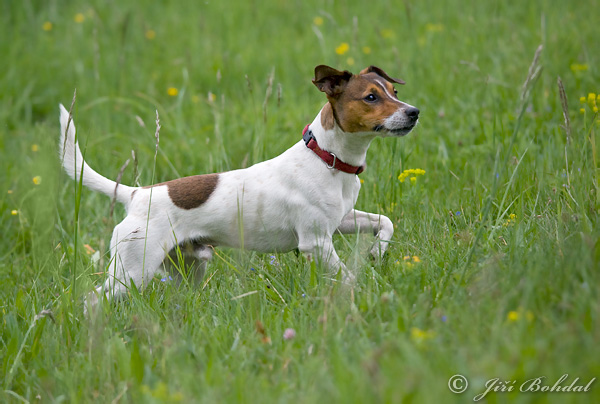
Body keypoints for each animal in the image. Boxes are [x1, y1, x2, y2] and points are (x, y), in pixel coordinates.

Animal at [58, 64, 420, 308]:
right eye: (371, 97)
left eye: (395, 93)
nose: (414, 112)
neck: (327, 158)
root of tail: (135, 194)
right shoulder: (315, 242)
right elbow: (347, 276)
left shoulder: (342, 221)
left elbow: (384, 223)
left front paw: (377, 252)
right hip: (132, 271)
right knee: (93, 300)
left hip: (187, 270)